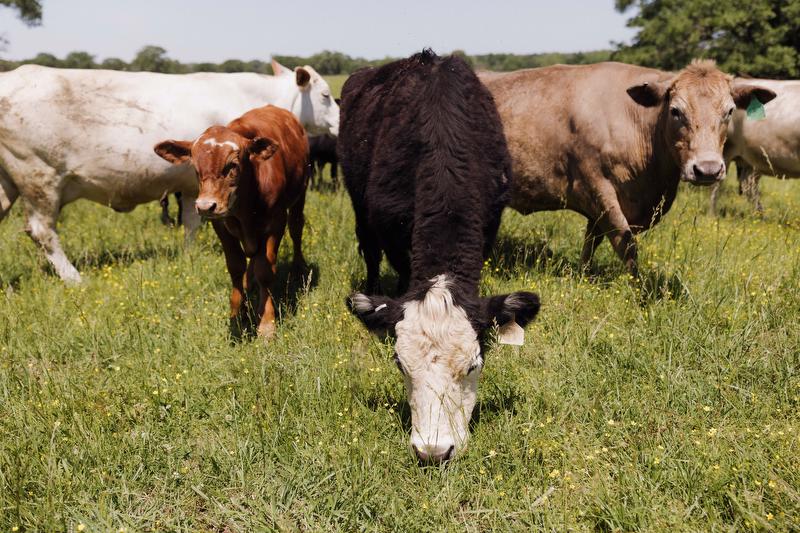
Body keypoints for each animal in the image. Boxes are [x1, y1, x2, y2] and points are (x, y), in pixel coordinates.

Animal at [0, 59, 337, 283]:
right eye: (325, 95)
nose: (340, 117)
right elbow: (195, 222)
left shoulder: (191, 188)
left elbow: (190, 222)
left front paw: (187, 256)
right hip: (40, 180)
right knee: (43, 232)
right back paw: (74, 278)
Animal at [154, 105, 309, 340]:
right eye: (196, 167)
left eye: (233, 165)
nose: (205, 206)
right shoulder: (222, 226)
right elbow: (236, 266)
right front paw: (237, 315)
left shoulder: (276, 222)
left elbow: (265, 270)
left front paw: (266, 323)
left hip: (301, 194)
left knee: (296, 228)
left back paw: (298, 266)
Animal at [338, 50, 540, 464]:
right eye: (400, 364)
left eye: (474, 365)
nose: (433, 452)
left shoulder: (490, 222)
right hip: (360, 207)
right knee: (369, 253)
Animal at [479, 61, 776, 276]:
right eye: (676, 111)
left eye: (729, 111)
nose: (708, 169)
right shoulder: (597, 186)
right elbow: (625, 243)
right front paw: (639, 287)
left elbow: (592, 240)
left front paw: (583, 274)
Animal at [709, 79, 800, 214]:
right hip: (724, 152)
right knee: (717, 184)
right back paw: (712, 215)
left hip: (753, 159)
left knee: (749, 185)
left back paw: (760, 214)